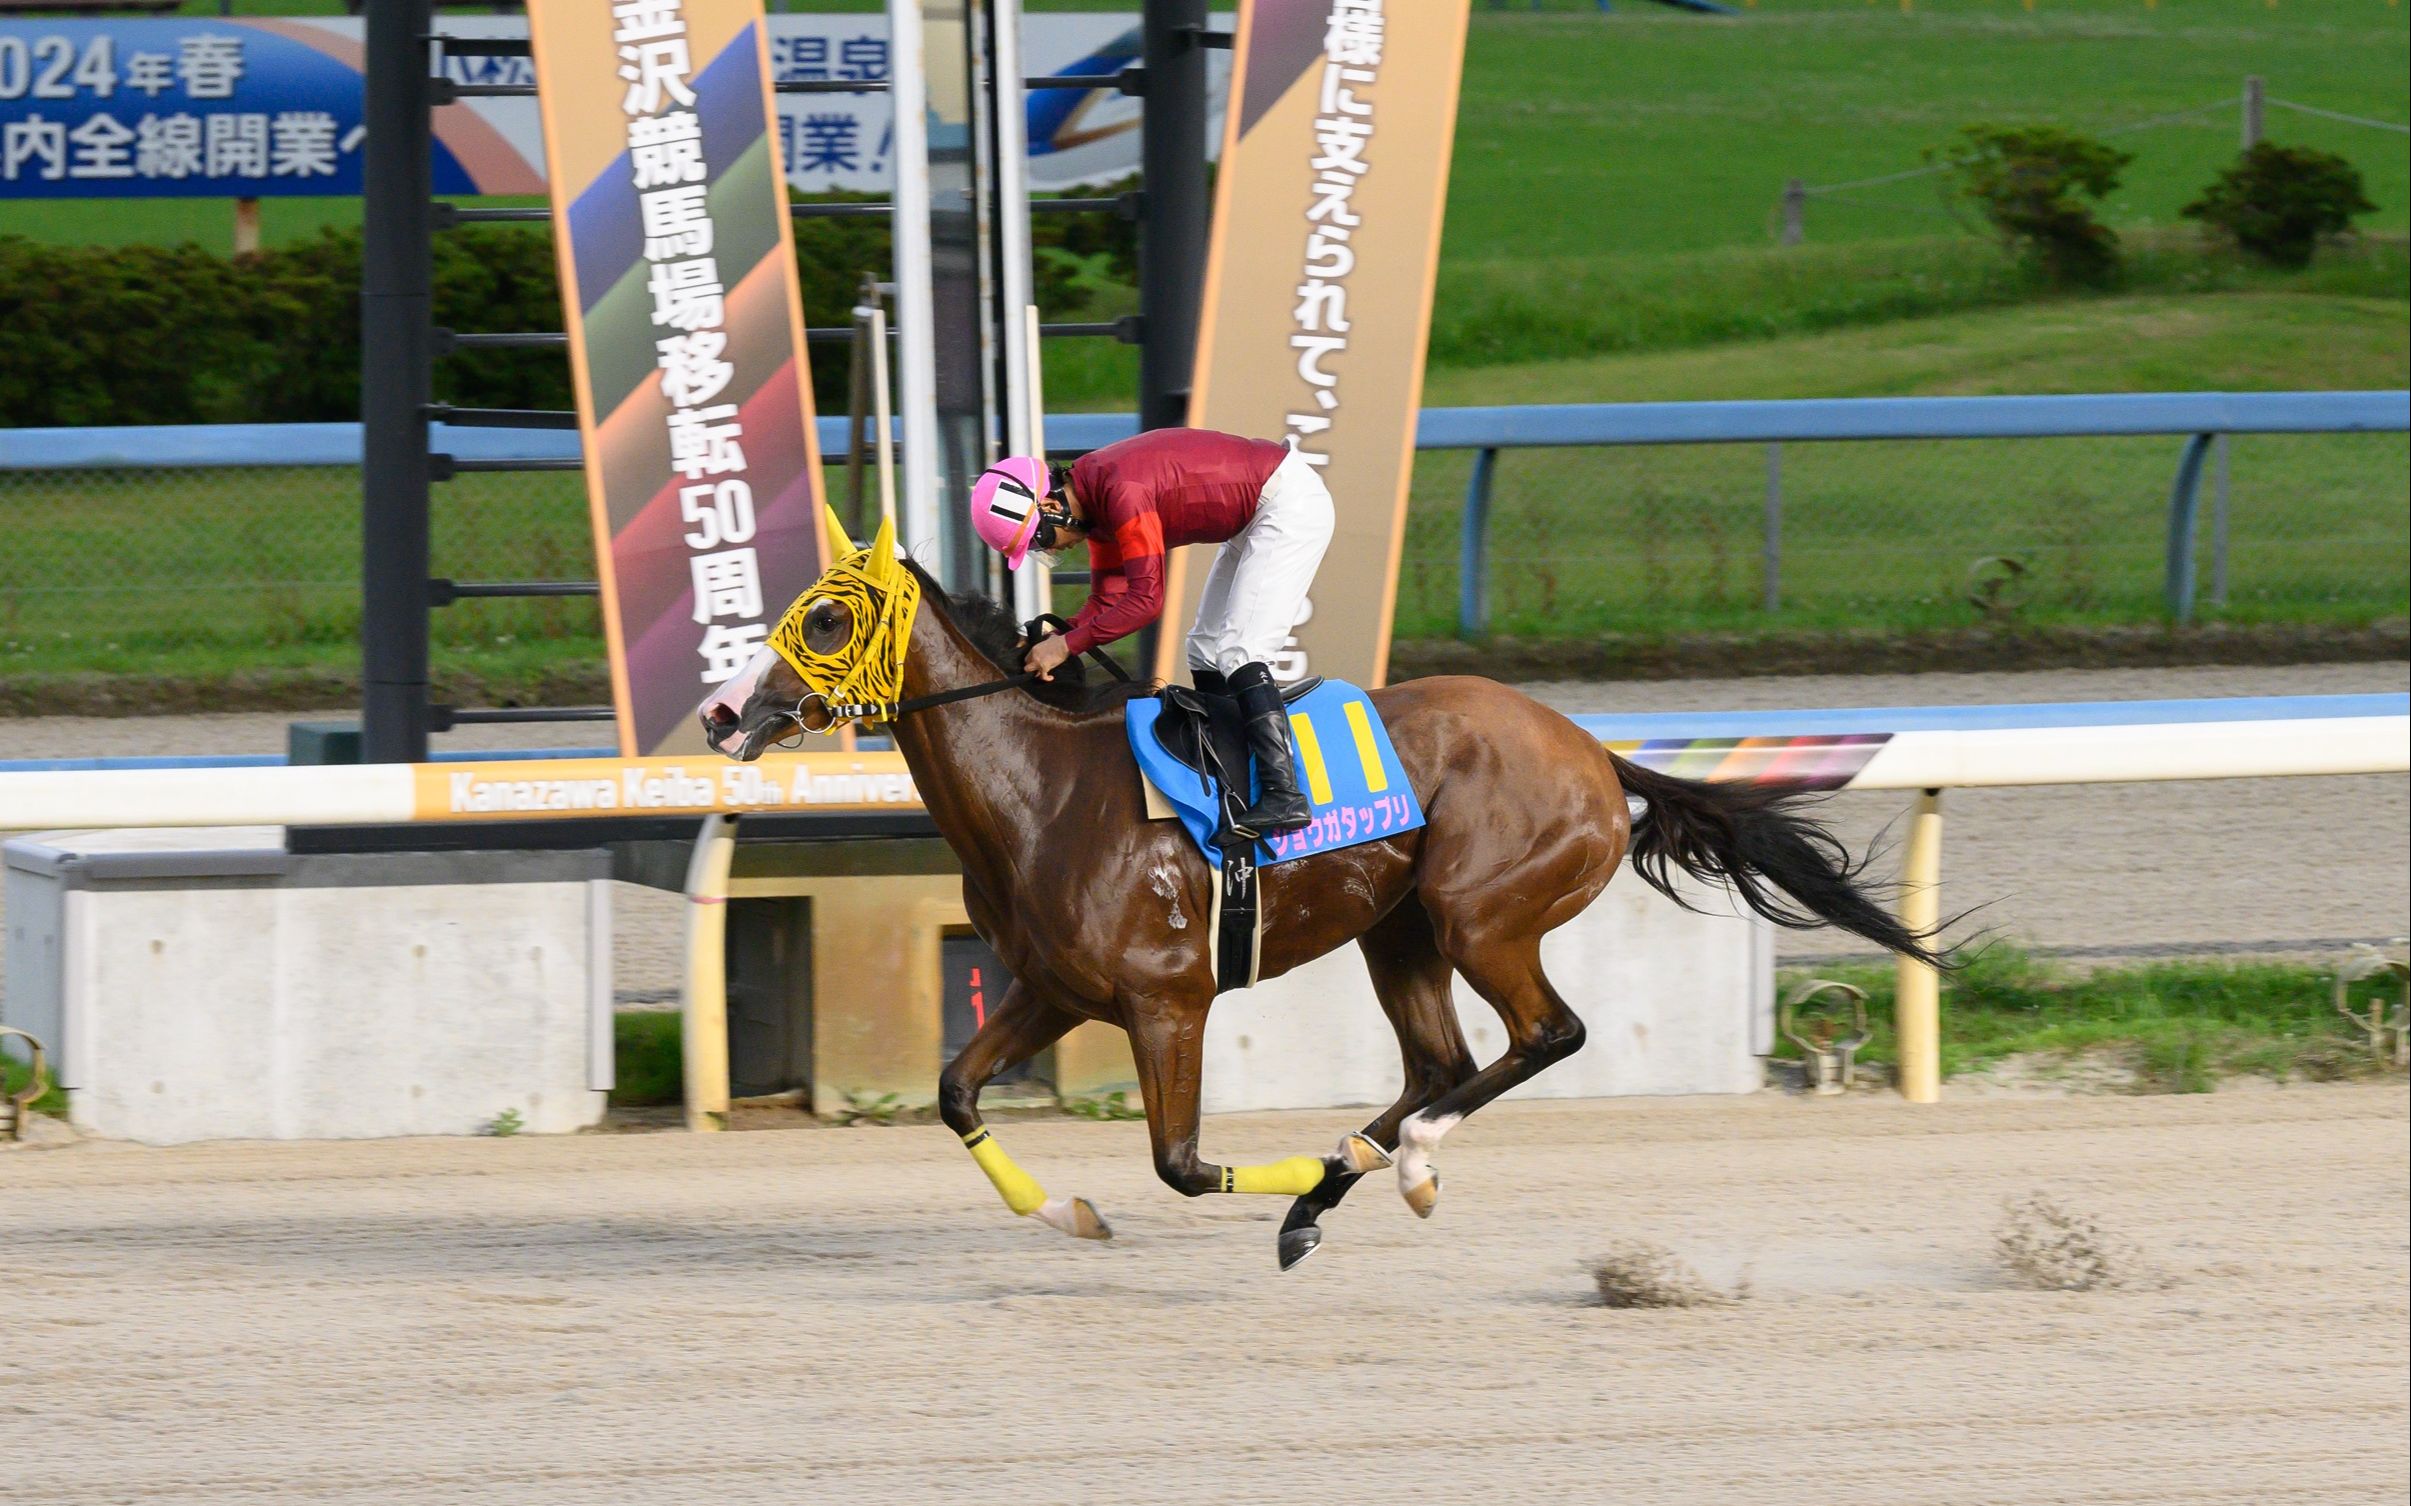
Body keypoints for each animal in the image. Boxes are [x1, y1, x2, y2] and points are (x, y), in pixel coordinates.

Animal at [699, 511, 1953, 1269]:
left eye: (825, 616)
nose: (718, 713)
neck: (1042, 790)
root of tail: (1594, 754)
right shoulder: (1053, 990)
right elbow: (956, 1090)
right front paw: (1070, 1211)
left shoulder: (1167, 1000)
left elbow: (1181, 1165)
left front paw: (1291, 1181)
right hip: (1395, 932)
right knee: (1438, 1063)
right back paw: (1339, 1184)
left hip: (1479, 915)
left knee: (1541, 1037)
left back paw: (1402, 1167)